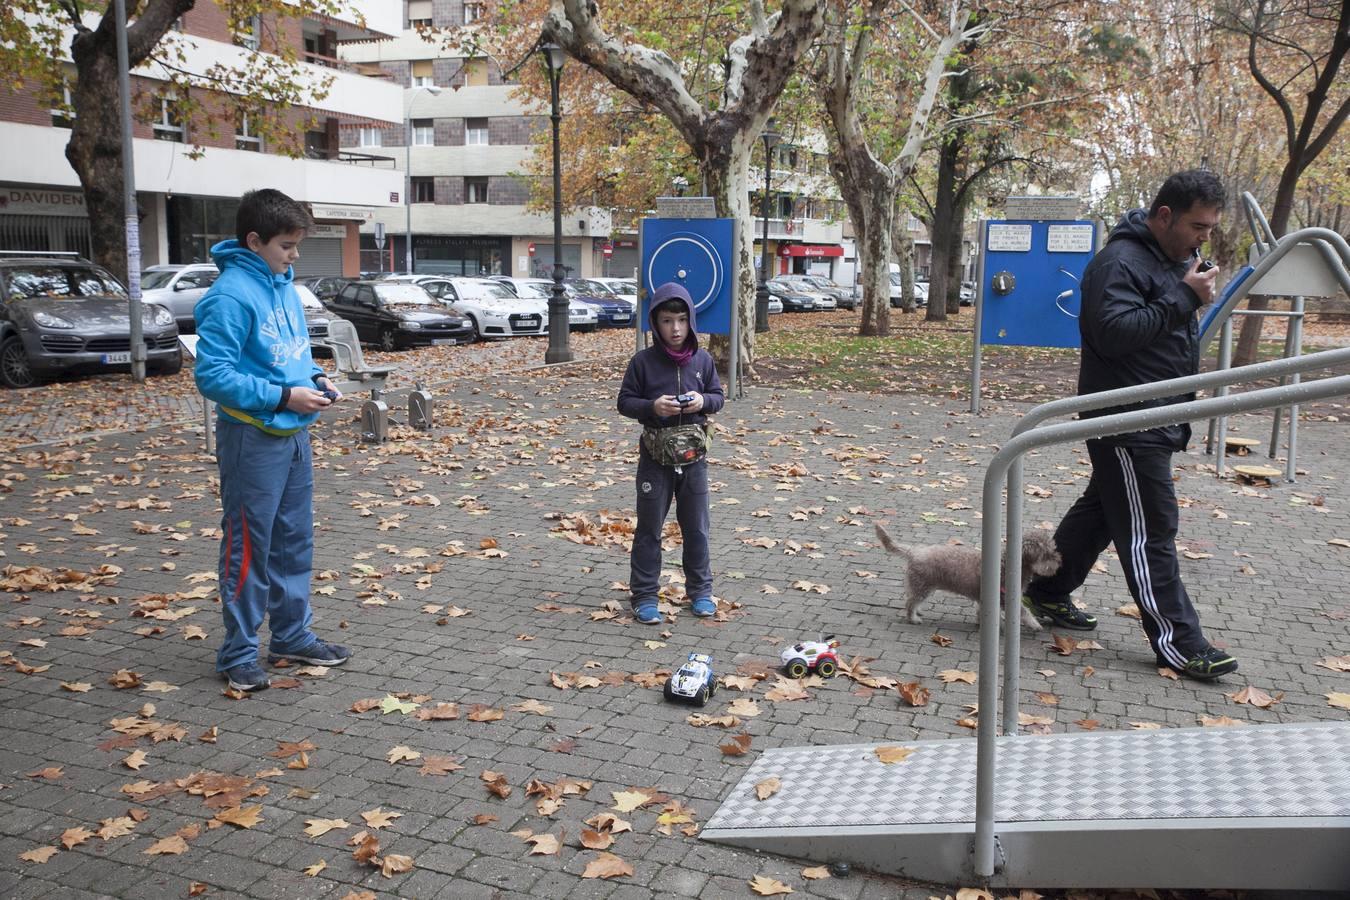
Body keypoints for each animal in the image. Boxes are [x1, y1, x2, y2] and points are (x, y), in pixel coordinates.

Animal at [874, 523, 1063, 631]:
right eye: (1047, 554)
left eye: (1052, 550)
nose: (1059, 562)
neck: (1007, 564)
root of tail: (914, 551)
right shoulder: (1004, 597)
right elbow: (1024, 611)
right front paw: (1035, 624)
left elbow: (981, 611)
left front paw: (982, 623)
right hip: (922, 586)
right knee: (910, 602)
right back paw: (913, 618)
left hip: (922, 586)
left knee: (913, 599)